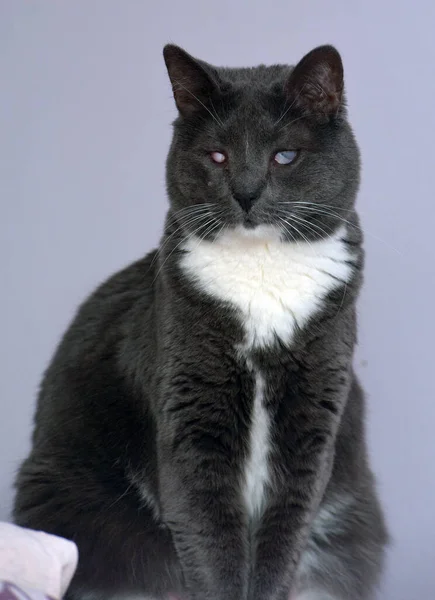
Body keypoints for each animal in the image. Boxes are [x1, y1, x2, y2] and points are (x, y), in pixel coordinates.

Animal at [12, 43, 388, 600]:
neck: (262, 274)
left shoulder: (312, 420)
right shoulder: (190, 417)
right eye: (217, 156)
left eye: (284, 156)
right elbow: (209, 544)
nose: (247, 193)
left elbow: (284, 539)